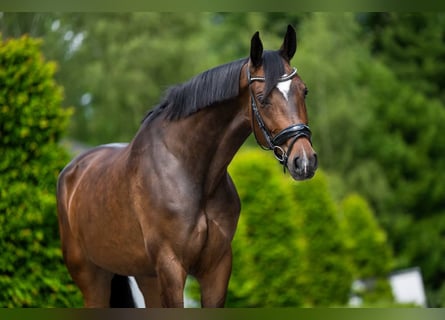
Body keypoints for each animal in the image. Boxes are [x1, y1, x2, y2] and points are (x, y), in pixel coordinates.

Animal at [57, 25, 318, 308]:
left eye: (303, 90)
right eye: (262, 98)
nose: (304, 161)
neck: (190, 170)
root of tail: (72, 171)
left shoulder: (217, 267)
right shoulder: (171, 266)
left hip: (144, 275)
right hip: (92, 276)